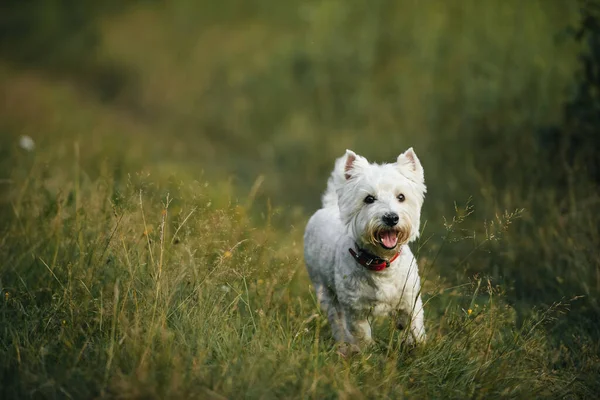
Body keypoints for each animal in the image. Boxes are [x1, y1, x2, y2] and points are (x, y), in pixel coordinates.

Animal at [304, 148, 426, 348]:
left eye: (401, 197)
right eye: (369, 199)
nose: (391, 217)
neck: (382, 262)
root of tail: (329, 206)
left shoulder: (411, 297)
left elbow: (414, 325)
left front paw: (415, 343)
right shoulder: (356, 310)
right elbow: (362, 335)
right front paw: (366, 351)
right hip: (324, 290)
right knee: (336, 319)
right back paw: (345, 345)